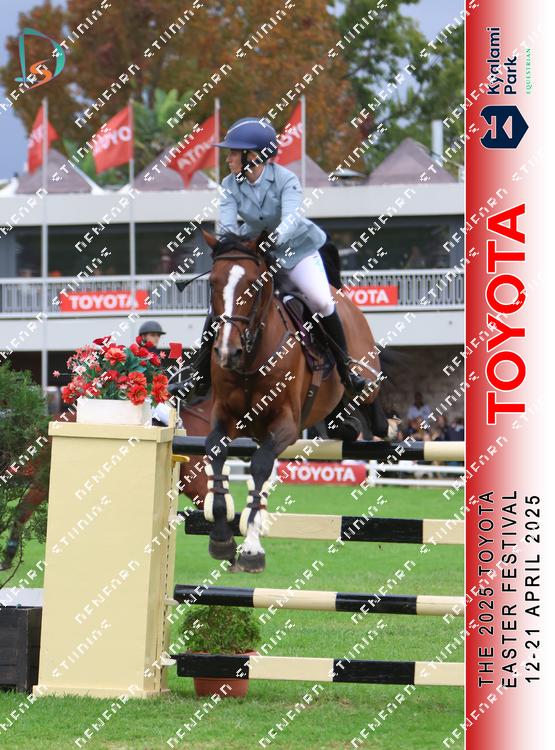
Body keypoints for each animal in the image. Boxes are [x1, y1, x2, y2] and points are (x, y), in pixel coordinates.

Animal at [200, 229, 387, 573]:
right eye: (213, 283)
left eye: (254, 285)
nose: (227, 352)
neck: (251, 359)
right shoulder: (223, 416)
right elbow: (215, 455)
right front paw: (221, 537)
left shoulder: (285, 425)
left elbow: (260, 467)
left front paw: (251, 549)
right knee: (339, 417)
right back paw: (347, 428)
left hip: (363, 365)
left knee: (370, 390)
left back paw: (381, 422)